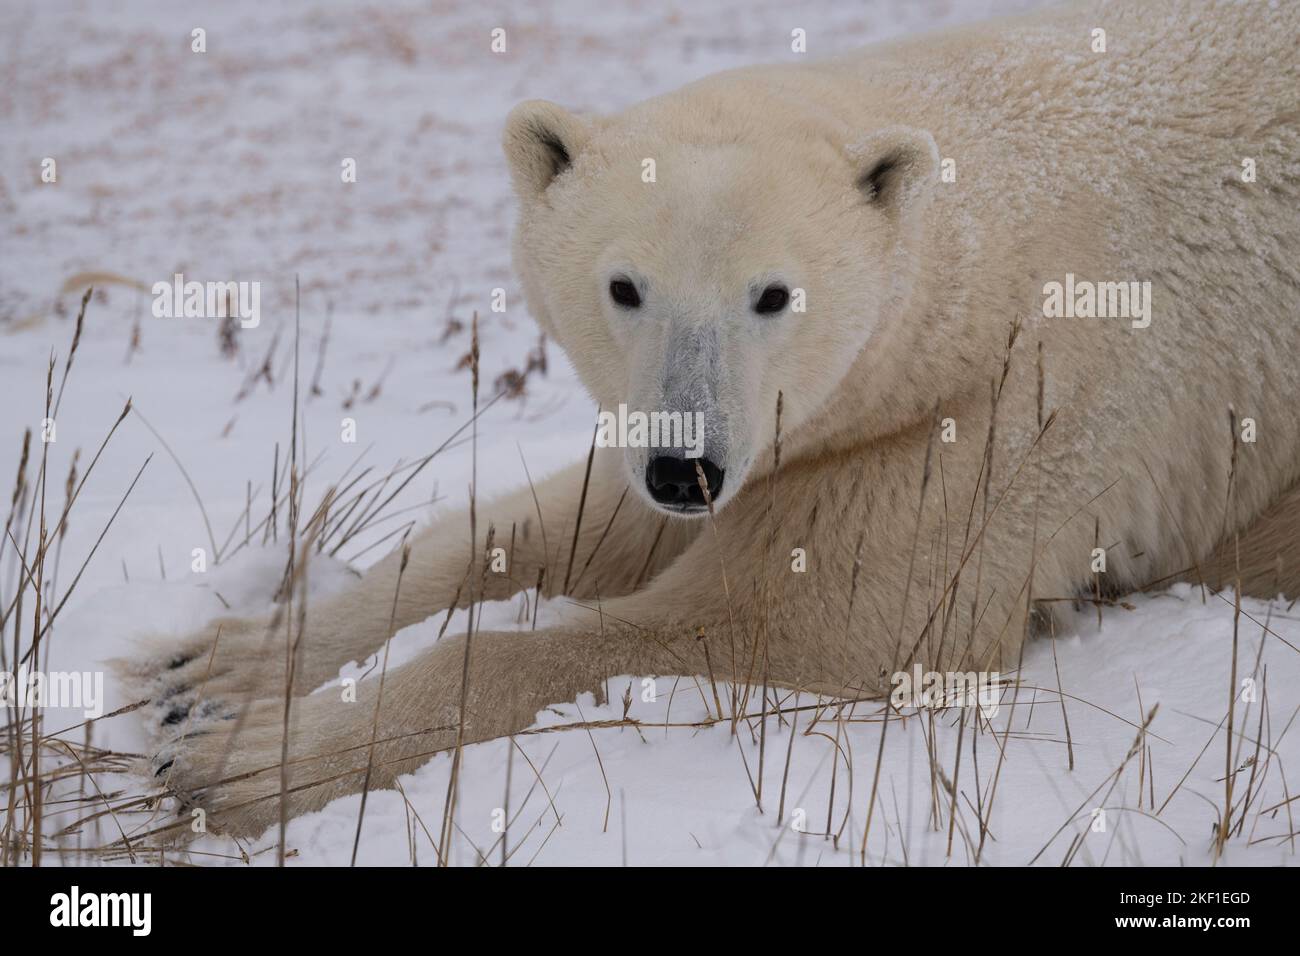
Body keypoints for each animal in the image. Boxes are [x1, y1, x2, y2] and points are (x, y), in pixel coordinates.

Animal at [122, 0, 1300, 837]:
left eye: (773, 294)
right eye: (624, 285)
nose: (685, 468)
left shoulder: (1004, 416)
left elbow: (796, 621)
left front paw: (237, 761)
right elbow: (545, 524)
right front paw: (206, 671)